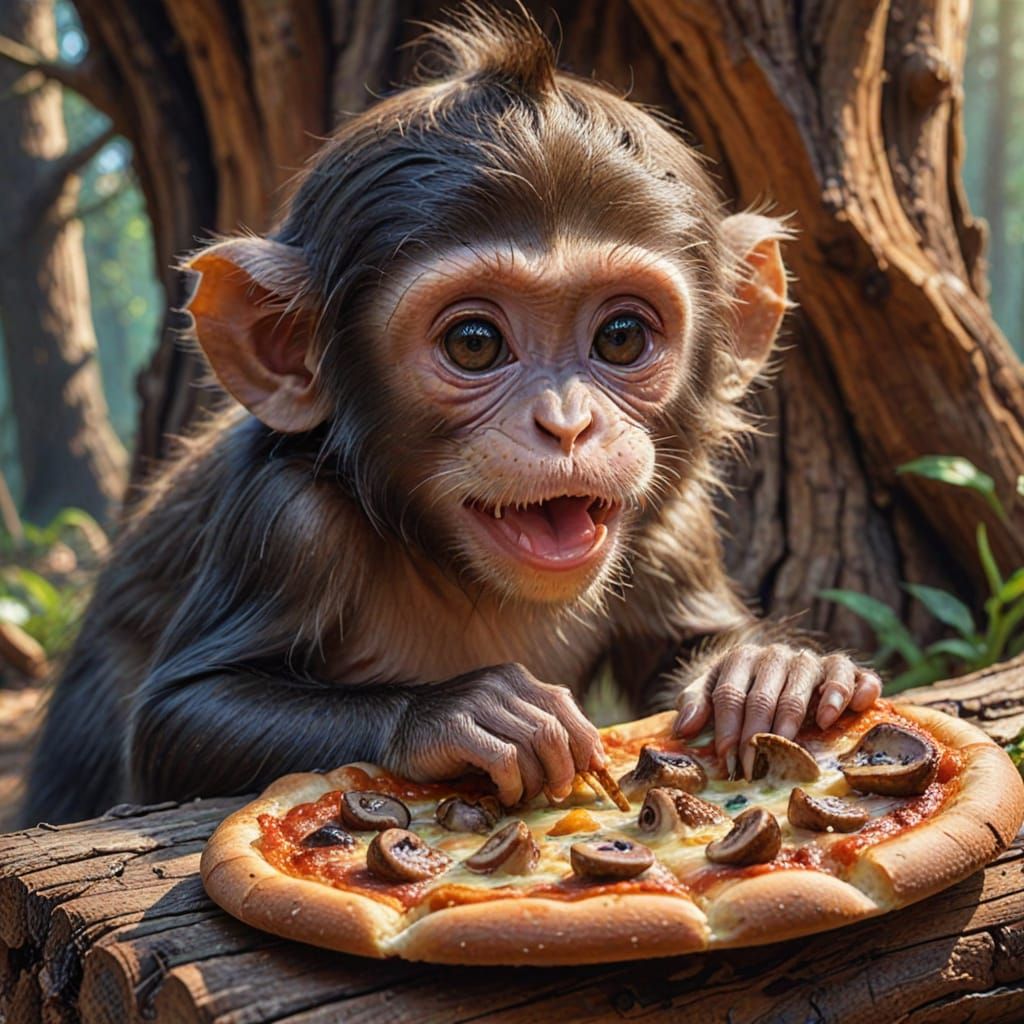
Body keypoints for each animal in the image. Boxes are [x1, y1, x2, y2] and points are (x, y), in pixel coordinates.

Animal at [22, 7, 881, 826]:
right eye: (474, 344)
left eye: (621, 337)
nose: (566, 423)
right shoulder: (285, 520)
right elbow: (180, 717)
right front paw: (466, 713)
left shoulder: (674, 521)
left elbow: (686, 648)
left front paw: (774, 671)